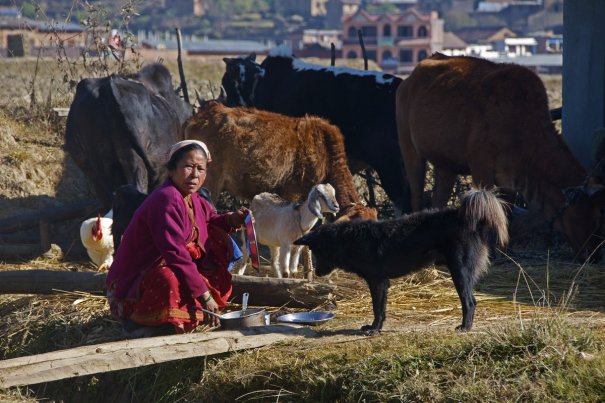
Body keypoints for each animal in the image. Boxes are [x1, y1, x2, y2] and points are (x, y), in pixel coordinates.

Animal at [294, 189, 508, 334]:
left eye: (316, 251)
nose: (318, 273)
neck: (347, 240)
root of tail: (463, 217)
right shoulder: (382, 284)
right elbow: (382, 309)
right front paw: (376, 328)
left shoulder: (377, 282)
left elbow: (377, 309)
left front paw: (374, 330)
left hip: (459, 272)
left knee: (470, 302)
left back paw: (465, 327)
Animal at [396, 52, 604, 262]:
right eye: (596, 215)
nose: (595, 255)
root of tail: (409, 79)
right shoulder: (481, 169)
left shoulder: (510, 178)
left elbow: (506, 212)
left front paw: (504, 251)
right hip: (410, 150)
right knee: (416, 196)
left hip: (445, 165)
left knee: (439, 199)